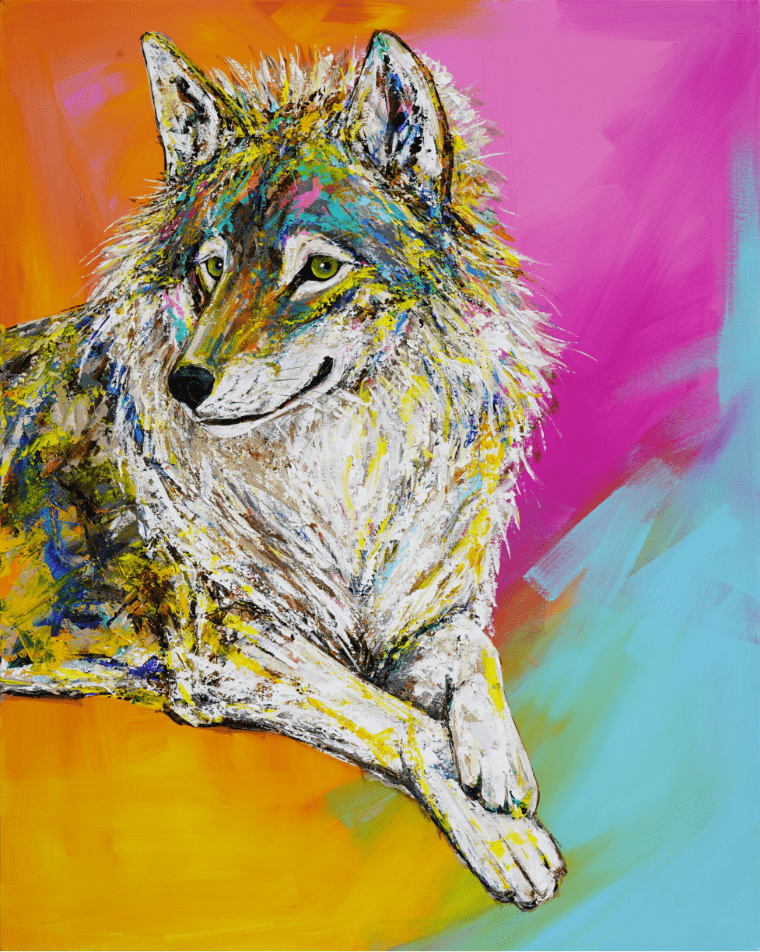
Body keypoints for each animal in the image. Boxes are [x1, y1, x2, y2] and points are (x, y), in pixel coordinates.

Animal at [0, 31, 564, 907]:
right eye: (210, 268)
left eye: (318, 271)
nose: (186, 383)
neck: (342, 474)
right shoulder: (229, 645)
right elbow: (405, 724)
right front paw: (506, 838)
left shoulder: (431, 609)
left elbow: (477, 662)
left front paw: (499, 763)